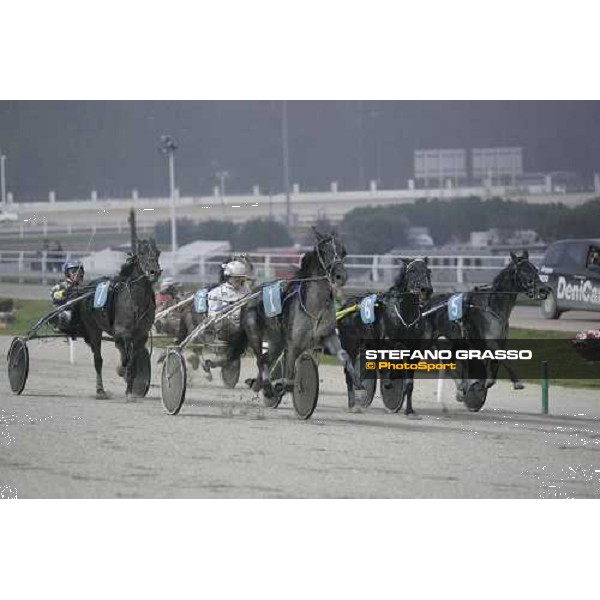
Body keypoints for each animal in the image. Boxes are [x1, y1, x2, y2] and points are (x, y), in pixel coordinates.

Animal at [77, 238, 162, 398]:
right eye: (141, 252)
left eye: (158, 252)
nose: (154, 272)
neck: (136, 302)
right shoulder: (122, 331)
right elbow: (125, 357)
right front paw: (122, 370)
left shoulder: (141, 336)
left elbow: (133, 362)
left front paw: (129, 392)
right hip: (93, 329)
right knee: (98, 359)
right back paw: (100, 390)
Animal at [336, 255, 434, 414]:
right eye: (412, 271)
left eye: (429, 271)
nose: (427, 289)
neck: (405, 315)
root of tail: (344, 306)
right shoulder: (387, 343)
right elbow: (389, 366)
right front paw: (389, 381)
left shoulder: (413, 349)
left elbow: (409, 383)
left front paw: (410, 411)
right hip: (351, 344)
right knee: (349, 371)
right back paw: (354, 401)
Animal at [426, 250, 548, 412]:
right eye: (524, 271)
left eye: (535, 270)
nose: (544, 290)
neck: (493, 307)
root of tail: (426, 305)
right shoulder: (490, 341)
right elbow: (505, 358)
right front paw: (517, 382)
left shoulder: (499, 342)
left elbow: (496, 362)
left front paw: (486, 383)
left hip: (456, 342)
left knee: (448, 362)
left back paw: (461, 389)